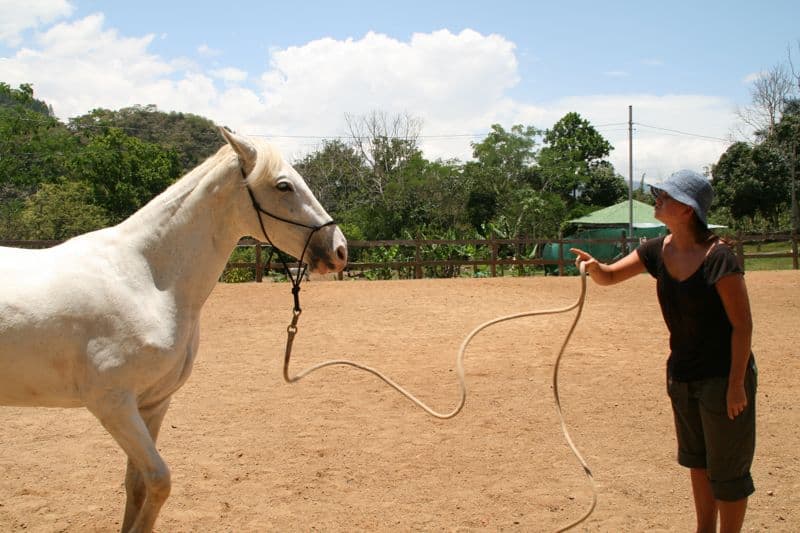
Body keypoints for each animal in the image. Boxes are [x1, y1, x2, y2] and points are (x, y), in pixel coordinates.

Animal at [0, 129, 346, 532]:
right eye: (283, 185)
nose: (339, 250)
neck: (145, 278)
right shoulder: (113, 405)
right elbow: (160, 481)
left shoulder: (153, 403)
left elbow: (137, 485)